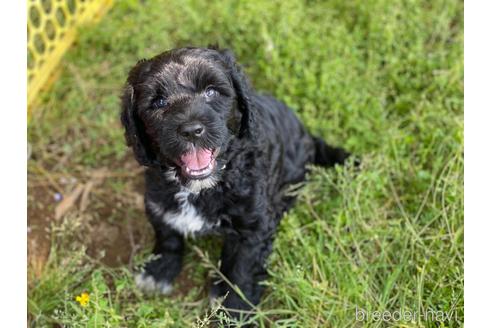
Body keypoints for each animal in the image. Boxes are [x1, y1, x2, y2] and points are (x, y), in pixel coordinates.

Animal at [120, 46, 350, 318]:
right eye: (158, 102)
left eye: (211, 91)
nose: (191, 130)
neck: (203, 187)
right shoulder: (158, 200)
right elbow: (168, 236)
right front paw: (158, 272)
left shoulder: (253, 228)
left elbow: (241, 269)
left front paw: (235, 310)